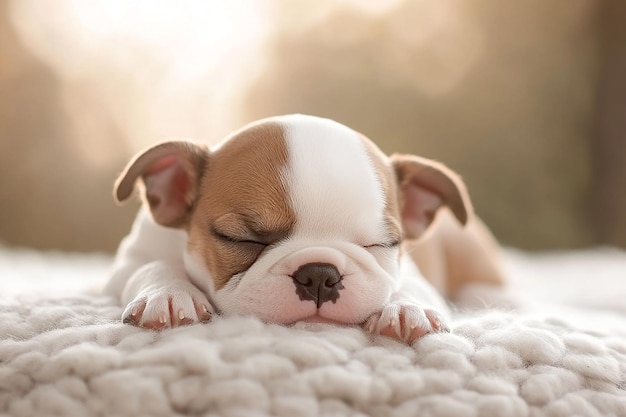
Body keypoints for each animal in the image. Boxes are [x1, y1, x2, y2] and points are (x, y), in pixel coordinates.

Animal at [103, 113, 502, 342]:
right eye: (243, 240)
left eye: (381, 244)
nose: (320, 274)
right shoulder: (128, 263)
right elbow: (152, 266)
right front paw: (169, 295)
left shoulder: (410, 271)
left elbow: (411, 286)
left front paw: (406, 308)